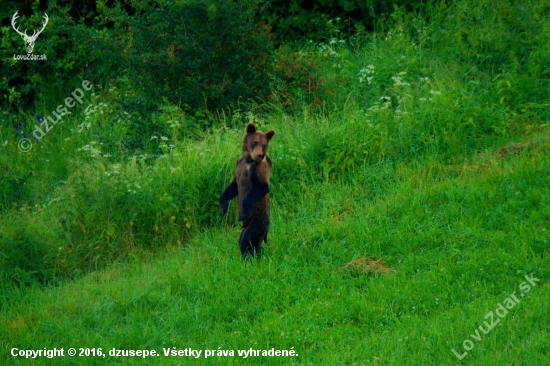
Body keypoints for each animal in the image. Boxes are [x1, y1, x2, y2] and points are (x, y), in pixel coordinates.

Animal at [220, 123, 276, 258]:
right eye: (255, 142)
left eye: (264, 145)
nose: (259, 155)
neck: (248, 159)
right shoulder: (238, 166)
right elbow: (233, 186)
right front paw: (222, 208)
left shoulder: (258, 170)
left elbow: (261, 187)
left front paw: (242, 213)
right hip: (245, 228)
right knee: (242, 239)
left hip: (257, 221)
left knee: (248, 240)